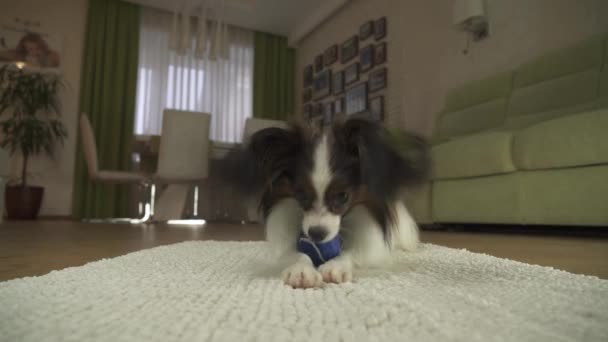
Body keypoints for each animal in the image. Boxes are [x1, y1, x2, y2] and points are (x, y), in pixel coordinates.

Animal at [224, 119, 432, 288]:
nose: (316, 234)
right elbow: (297, 253)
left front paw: (336, 266)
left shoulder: (373, 249)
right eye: (300, 194)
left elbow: (352, 253)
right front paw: (301, 270)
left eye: (343, 196)